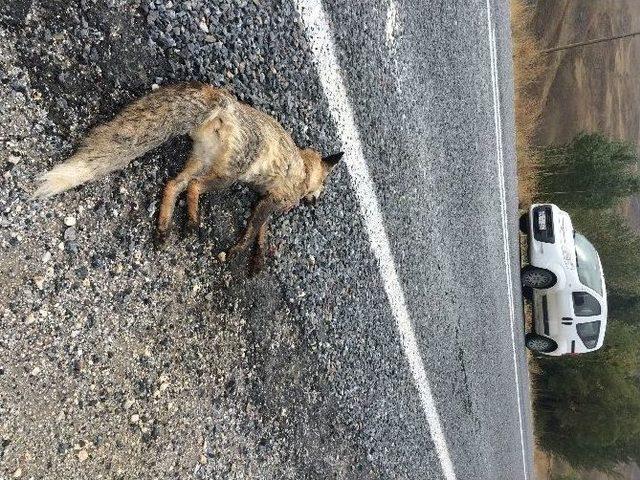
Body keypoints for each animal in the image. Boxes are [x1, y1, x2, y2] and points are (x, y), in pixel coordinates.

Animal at [32, 82, 342, 270]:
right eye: (323, 187)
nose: (315, 201)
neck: (303, 170)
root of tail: (227, 103)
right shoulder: (274, 200)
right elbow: (254, 229)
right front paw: (238, 252)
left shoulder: (263, 199)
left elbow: (261, 231)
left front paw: (257, 260)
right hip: (225, 177)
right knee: (192, 186)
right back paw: (192, 223)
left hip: (201, 161)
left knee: (173, 184)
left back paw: (164, 227)